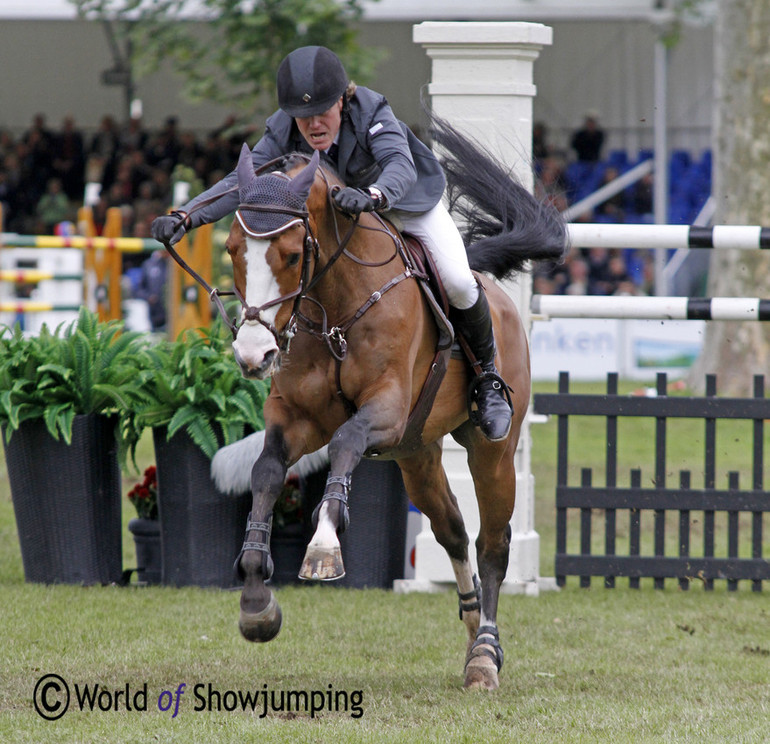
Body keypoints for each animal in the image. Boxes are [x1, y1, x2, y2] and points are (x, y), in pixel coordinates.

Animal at [204, 117, 564, 692]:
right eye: (235, 248)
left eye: (291, 254)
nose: (253, 355)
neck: (333, 306)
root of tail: (494, 291)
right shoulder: (296, 419)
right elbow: (265, 473)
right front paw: (257, 599)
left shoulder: (386, 411)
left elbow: (346, 442)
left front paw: (324, 545)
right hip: (416, 453)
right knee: (451, 530)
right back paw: (470, 626)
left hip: (492, 452)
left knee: (493, 543)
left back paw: (485, 655)